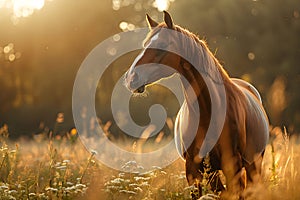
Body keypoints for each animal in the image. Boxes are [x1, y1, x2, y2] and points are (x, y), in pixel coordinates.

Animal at [123, 11, 268, 198]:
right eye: (145, 44)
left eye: (162, 44)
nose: (131, 77)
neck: (209, 113)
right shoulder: (192, 169)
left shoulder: (232, 165)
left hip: (253, 165)